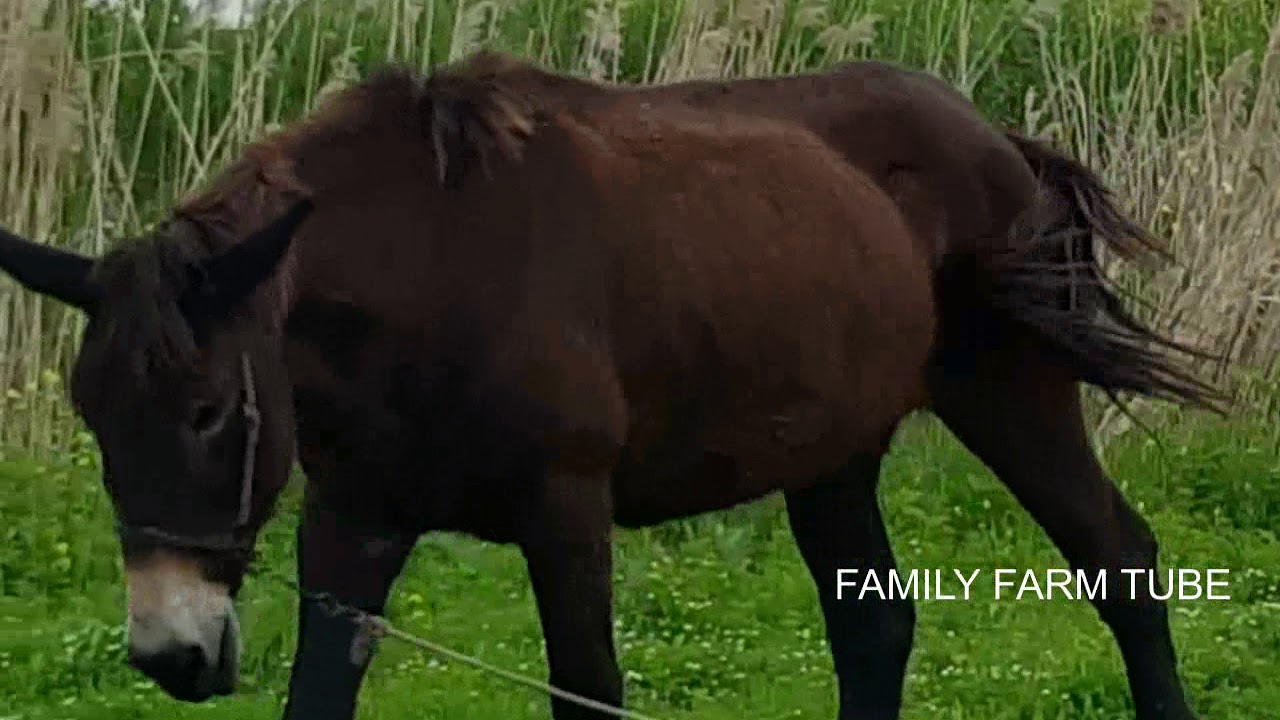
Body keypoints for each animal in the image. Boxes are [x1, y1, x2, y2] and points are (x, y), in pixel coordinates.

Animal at [0, 52, 1226, 720]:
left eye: (209, 411)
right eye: (93, 419)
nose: (169, 656)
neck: (433, 266)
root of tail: (994, 138)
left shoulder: (566, 516)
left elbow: (588, 691)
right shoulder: (353, 524)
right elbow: (318, 695)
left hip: (1011, 396)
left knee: (1120, 564)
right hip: (835, 454)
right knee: (873, 628)